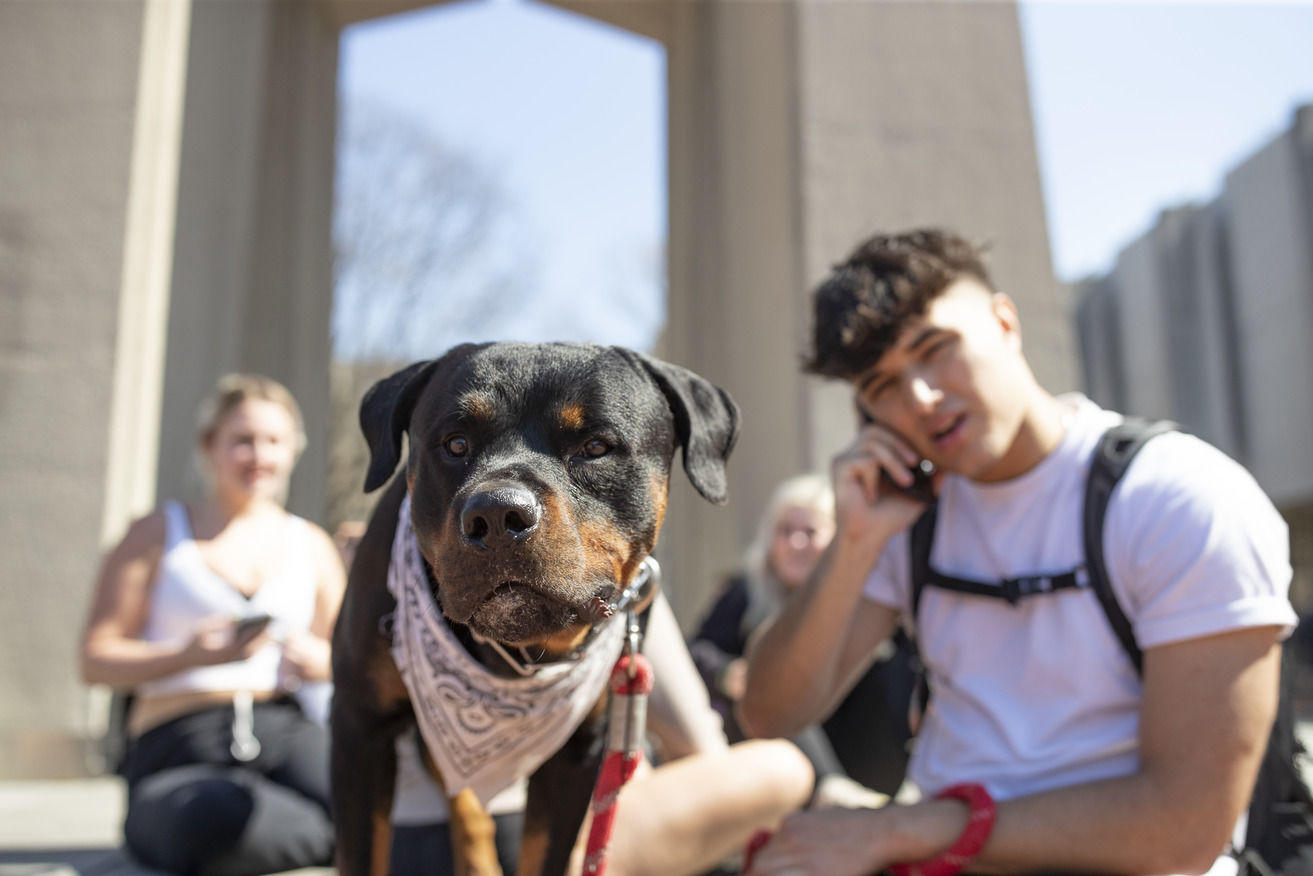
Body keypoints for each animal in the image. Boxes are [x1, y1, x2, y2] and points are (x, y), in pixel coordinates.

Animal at [328, 341, 740, 876]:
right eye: (456, 444)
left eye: (595, 447)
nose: (496, 513)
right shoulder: (359, 725)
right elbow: (364, 852)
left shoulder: (580, 750)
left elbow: (545, 853)